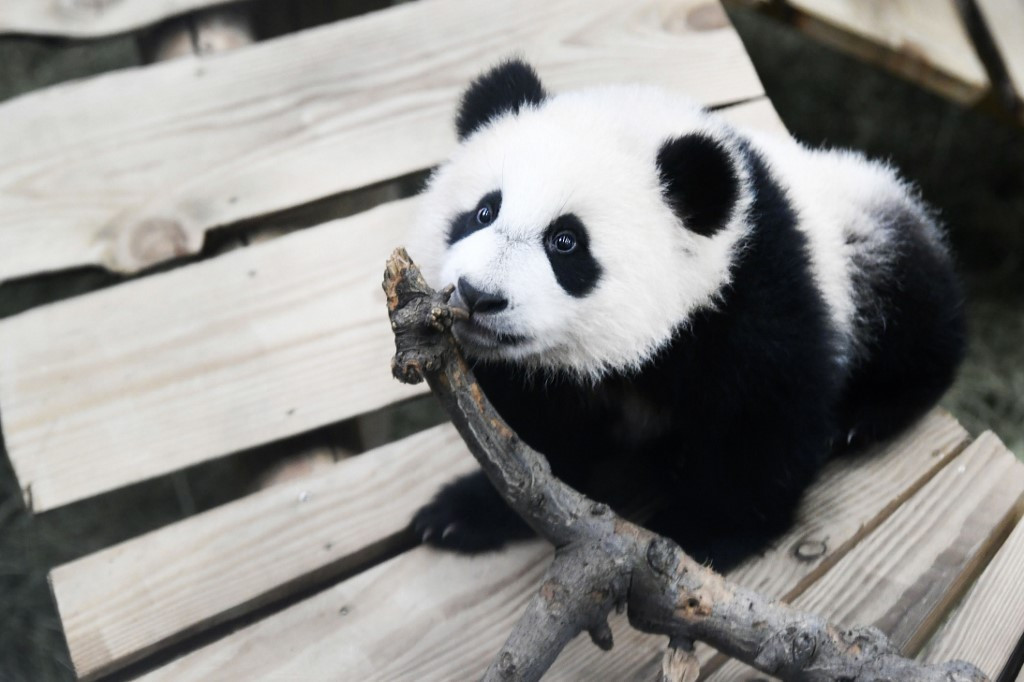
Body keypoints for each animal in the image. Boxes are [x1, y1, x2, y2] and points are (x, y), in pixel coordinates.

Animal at [403, 59, 962, 569]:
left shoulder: (757, 292)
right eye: (483, 212)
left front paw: (698, 533)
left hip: (870, 245)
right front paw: (467, 512)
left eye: (566, 242)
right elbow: (529, 434)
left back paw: (864, 417)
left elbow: (763, 416)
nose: (477, 295)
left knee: (916, 324)